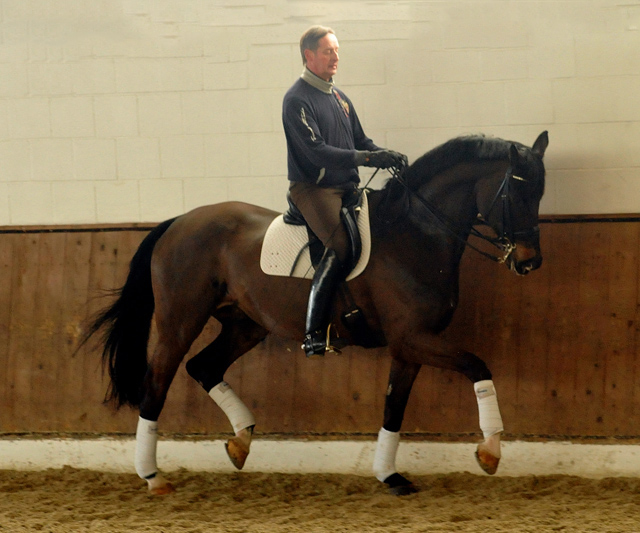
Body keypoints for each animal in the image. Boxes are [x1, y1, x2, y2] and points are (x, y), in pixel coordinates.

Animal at [82, 130, 548, 494]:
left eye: (540, 193)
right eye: (516, 191)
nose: (529, 263)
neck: (415, 234)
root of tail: (178, 222)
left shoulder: (409, 345)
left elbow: (394, 407)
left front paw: (389, 475)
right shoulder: (414, 339)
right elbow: (477, 365)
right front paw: (490, 451)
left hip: (245, 324)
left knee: (204, 366)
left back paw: (241, 442)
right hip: (180, 321)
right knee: (157, 382)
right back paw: (153, 476)